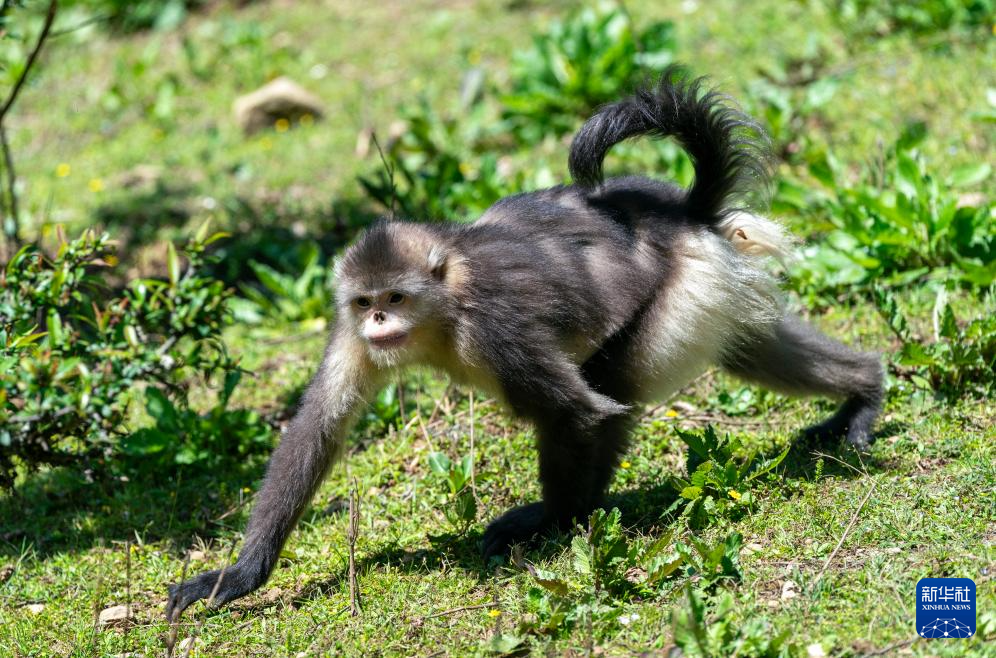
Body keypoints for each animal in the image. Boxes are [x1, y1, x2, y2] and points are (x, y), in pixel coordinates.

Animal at [165, 65, 888, 616]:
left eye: (396, 300)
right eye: (367, 304)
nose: (379, 325)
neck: (444, 307)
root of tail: (683, 211)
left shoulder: (494, 327)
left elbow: (580, 410)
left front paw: (554, 526)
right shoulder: (348, 330)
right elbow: (318, 426)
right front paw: (238, 577)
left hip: (683, 289)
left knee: (610, 386)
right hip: (712, 284)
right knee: (748, 345)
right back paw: (865, 388)